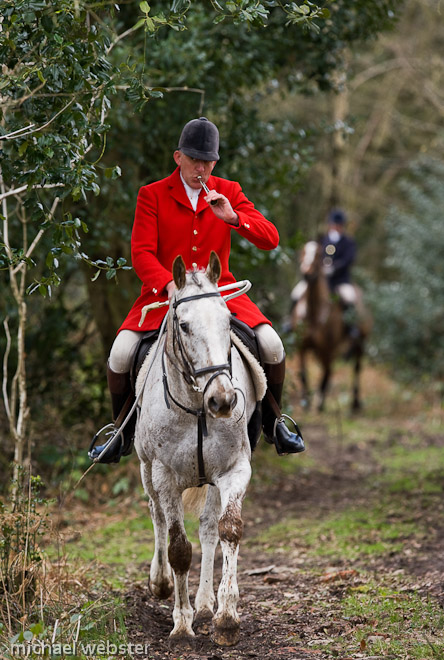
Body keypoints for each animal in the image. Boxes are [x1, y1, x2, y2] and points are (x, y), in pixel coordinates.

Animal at [292, 240, 372, 410]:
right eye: (303, 252)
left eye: (317, 254)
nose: (306, 273)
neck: (313, 313)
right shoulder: (302, 346)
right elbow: (303, 373)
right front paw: (305, 402)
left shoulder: (328, 348)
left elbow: (326, 373)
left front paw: (319, 403)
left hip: (360, 343)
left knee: (356, 368)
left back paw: (355, 403)